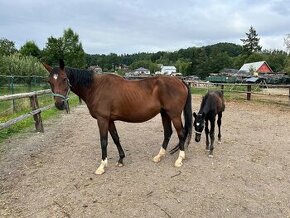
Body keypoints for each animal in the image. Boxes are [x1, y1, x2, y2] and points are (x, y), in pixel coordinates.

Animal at [43, 60, 193, 175]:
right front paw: (121, 159)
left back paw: (180, 159)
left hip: (174, 114)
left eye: (64, 79)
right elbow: (115, 138)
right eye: (49, 81)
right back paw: (159, 156)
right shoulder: (109, 120)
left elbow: (103, 141)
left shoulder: (102, 119)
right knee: (168, 133)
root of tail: (180, 81)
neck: (95, 87)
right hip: (164, 113)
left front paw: (102, 166)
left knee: (181, 133)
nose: (59, 104)